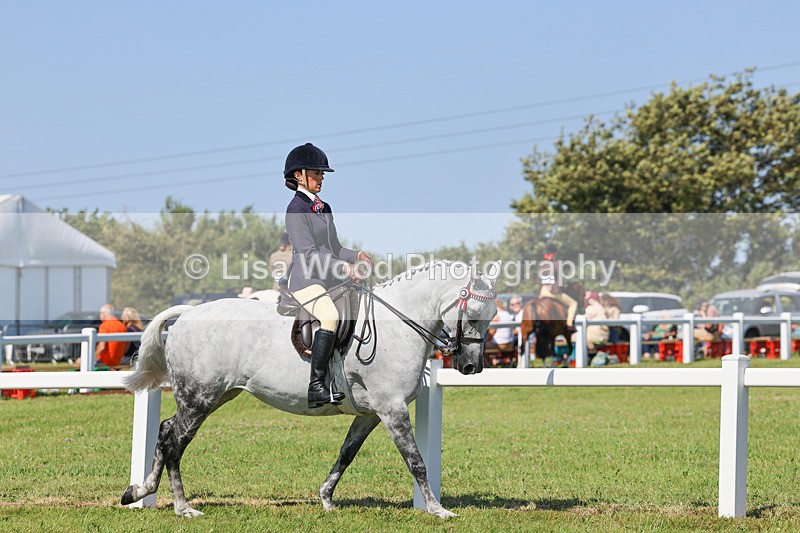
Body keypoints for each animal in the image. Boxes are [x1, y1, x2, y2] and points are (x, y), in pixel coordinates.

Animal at [120, 260, 499, 518]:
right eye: (475, 314)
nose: (471, 367)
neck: (397, 326)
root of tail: (188, 314)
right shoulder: (392, 408)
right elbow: (416, 461)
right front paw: (438, 510)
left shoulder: (371, 413)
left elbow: (347, 453)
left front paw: (326, 498)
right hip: (200, 398)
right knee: (175, 443)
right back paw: (182, 507)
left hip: (212, 396)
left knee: (166, 431)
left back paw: (138, 491)